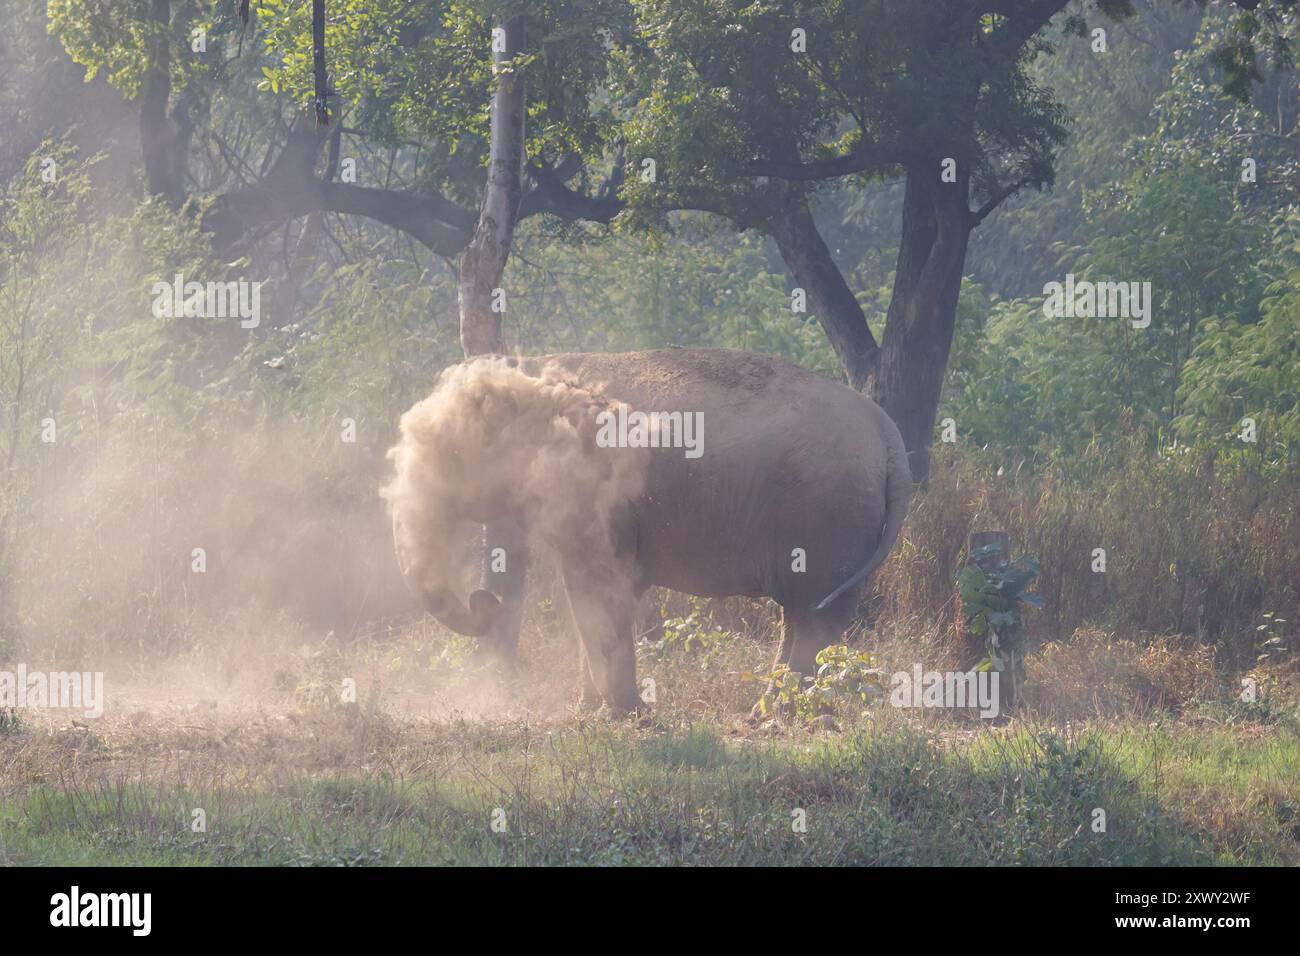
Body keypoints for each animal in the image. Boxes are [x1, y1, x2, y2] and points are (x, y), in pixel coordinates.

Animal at [382, 347, 911, 716]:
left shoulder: (595, 492)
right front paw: (588, 711)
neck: (532, 369)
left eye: (449, 460)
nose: (483, 601)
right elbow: (594, 596)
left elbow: (601, 589)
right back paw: (775, 711)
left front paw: (623, 714)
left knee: (815, 614)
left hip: (828, 514)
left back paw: (783, 713)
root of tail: (888, 435)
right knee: (804, 614)